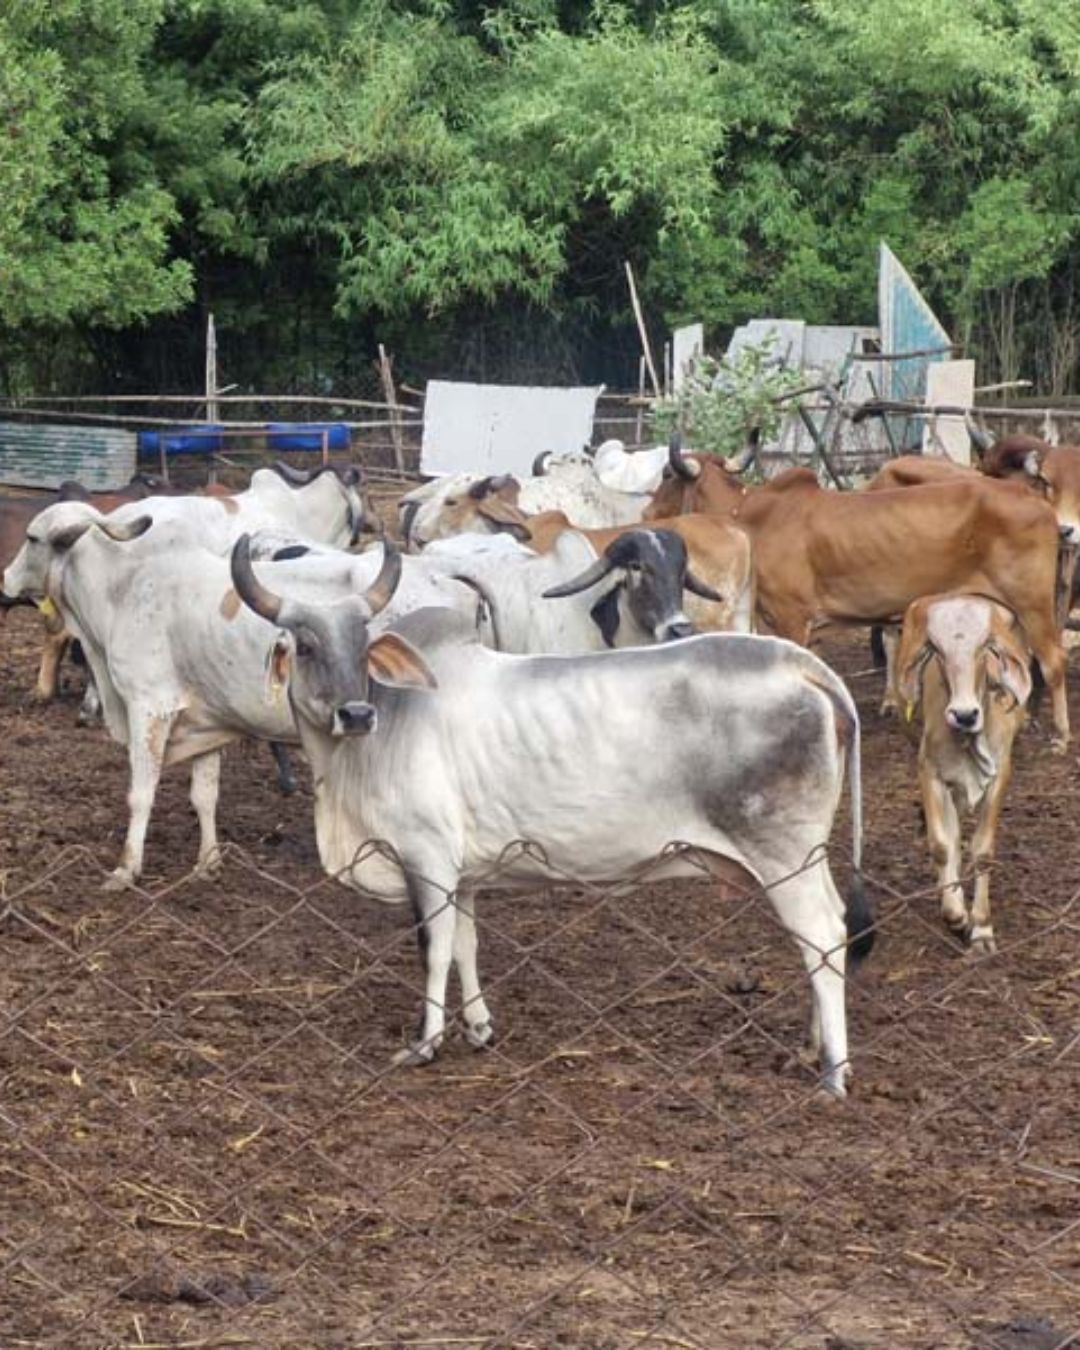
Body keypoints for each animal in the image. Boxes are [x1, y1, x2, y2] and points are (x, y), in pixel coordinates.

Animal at [229, 534, 874, 1098]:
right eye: (305, 645)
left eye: (364, 645)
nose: (356, 713)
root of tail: (796, 662)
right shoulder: (463, 873)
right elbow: (466, 944)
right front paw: (479, 1027)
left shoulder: (426, 859)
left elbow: (433, 949)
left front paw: (425, 1042)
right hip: (801, 859)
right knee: (828, 937)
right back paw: (812, 1045)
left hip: (783, 854)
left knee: (822, 934)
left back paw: (834, 1072)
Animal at [647, 438, 1070, 749]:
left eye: (667, 473)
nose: (648, 514)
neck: (747, 516)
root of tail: (1034, 499)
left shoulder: (789, 617)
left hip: (1032, 603)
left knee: (1052, 661)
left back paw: (1061, 736)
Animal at [894, 594, 1032, 954]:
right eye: (936, 649)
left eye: (985, 646)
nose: (964, 714)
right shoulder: (929, 772)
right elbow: (943, 844)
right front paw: (956, 915)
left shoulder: (1000, 774)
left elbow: (982, 851)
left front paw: (981, 928)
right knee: (952, 836)